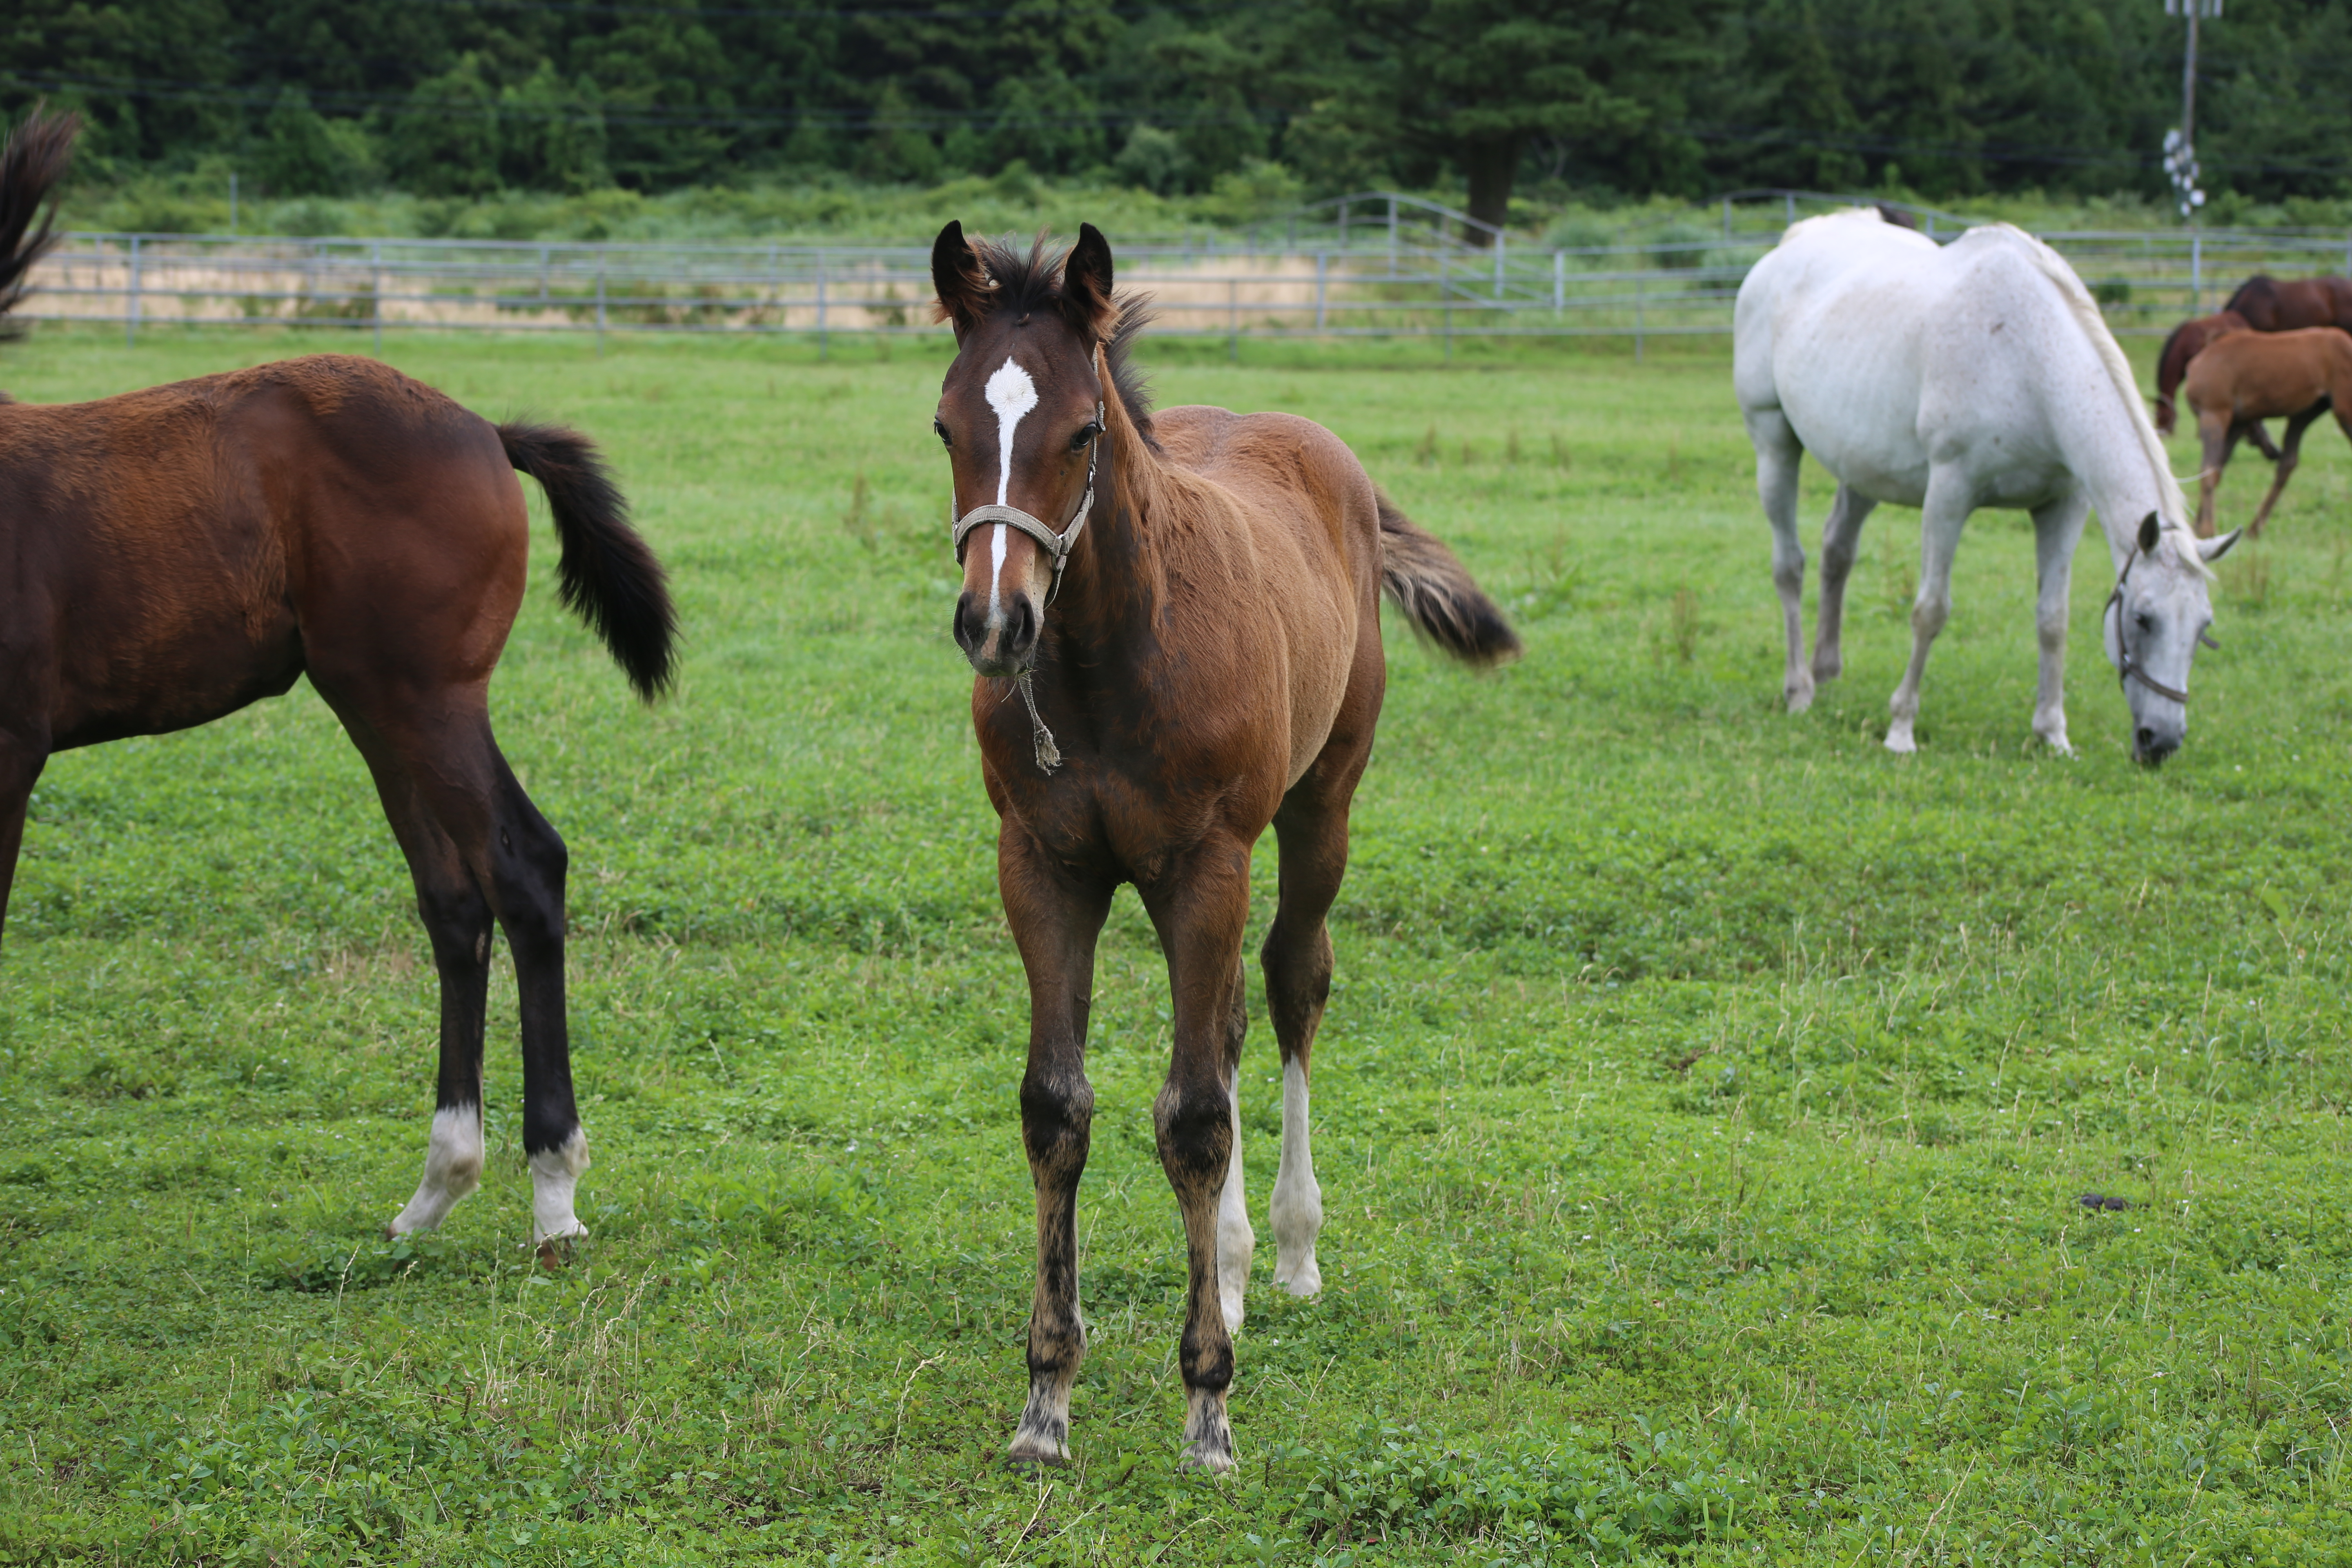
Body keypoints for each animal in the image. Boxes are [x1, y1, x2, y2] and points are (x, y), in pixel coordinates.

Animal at [2, 116, 682, 1260]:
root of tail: (485, 429)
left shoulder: (9, 750)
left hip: (422, 695)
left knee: (522, 867)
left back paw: (551, 1192)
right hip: (374, 700)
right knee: (453, 896)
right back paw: (437, 1188)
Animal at [927, 221, 1515, 1476]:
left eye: (1082, 432)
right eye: (947, 425)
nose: (994, 626)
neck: (1108, 661)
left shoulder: (1206, 864)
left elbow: (1193, 1117)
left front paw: (1207, 1406)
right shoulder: (1042, 867)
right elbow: (1056, 1108)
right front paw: (1046, 1396)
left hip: (1315, 808)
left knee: (1290, 988)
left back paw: (1286, 1250)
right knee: (1235, 1020)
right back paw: (1236, 1268)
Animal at [1740, 210, 2230, 766]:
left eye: (2204, 627)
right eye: (2144, 619)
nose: (2161, 740)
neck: (2026, 359)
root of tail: (1792, 243)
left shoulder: (2063, 506)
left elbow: (2053, 620)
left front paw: (2053, 733)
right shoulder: (1949, 495)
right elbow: (1930, 611)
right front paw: (1901, 729)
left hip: (1862, 467)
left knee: (1836, 552)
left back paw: (1826, 671)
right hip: (1773, 442)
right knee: (1790, 566)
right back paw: (1799, 689)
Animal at [2173, 322, 2352, 536]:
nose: (2272, 451)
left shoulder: (2214, 413)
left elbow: (2208, 469)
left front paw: (2206, 529)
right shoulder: (2238, 423)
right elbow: (2217, 469)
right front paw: (2198, 527)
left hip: (2343, 411)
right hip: (2304, 415)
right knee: (2287, 465)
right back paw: (2255, 528)